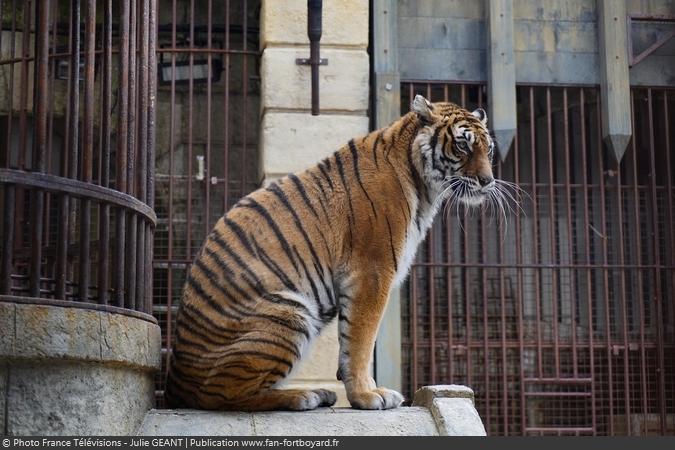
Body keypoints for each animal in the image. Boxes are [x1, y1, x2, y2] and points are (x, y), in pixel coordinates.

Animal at [166, 95, 500, 412]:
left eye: (489, 150)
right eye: (462, 145)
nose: (488, 181)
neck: (424, 186)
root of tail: (177, 378)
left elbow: (350, 340)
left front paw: (362, 391)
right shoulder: (372, 272)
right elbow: (361, 340)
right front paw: (368, 396)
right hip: (290, 313)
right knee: (221, 395)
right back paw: (304, 395)